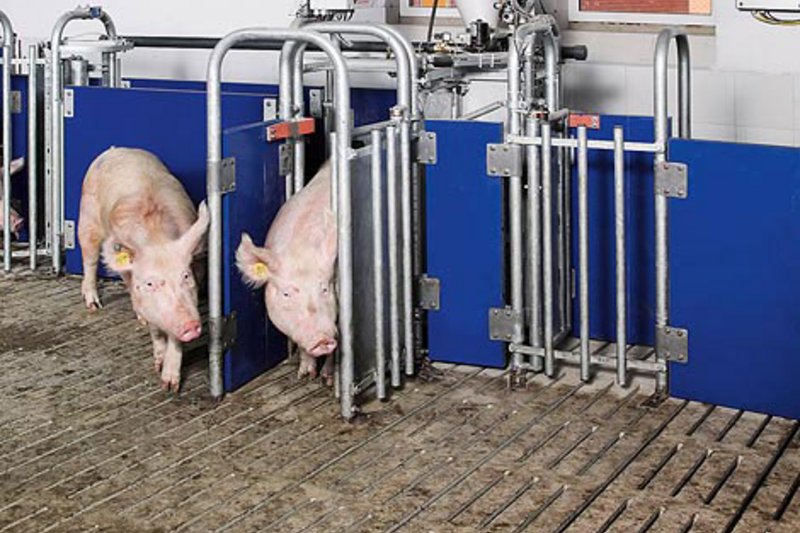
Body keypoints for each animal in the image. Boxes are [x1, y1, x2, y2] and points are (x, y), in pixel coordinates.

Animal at [78, 147, 209, 391]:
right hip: (87, 217)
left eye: (186, 276)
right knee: (89, 259)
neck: (156, 238)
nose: (191, 325)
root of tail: (116, 149)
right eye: (150, 283)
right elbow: (156, 328)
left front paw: (170, 384)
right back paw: (94, 305)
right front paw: (159, 366)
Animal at [236, 161, 338, 384]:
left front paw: (327, 379)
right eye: (286, 293)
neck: (301, 250)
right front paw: (305, 375)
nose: (322, 339)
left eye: (325, 289)